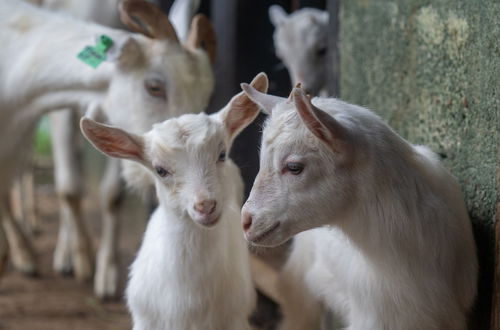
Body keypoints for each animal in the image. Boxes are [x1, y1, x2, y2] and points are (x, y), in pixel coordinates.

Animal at [0, 0, 213, 294]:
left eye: (205, 97)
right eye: (154, 86)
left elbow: (112, 195)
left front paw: (107, 274)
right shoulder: (58, 113)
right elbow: (69, 188)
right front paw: (82, 260)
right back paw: (27, 252)